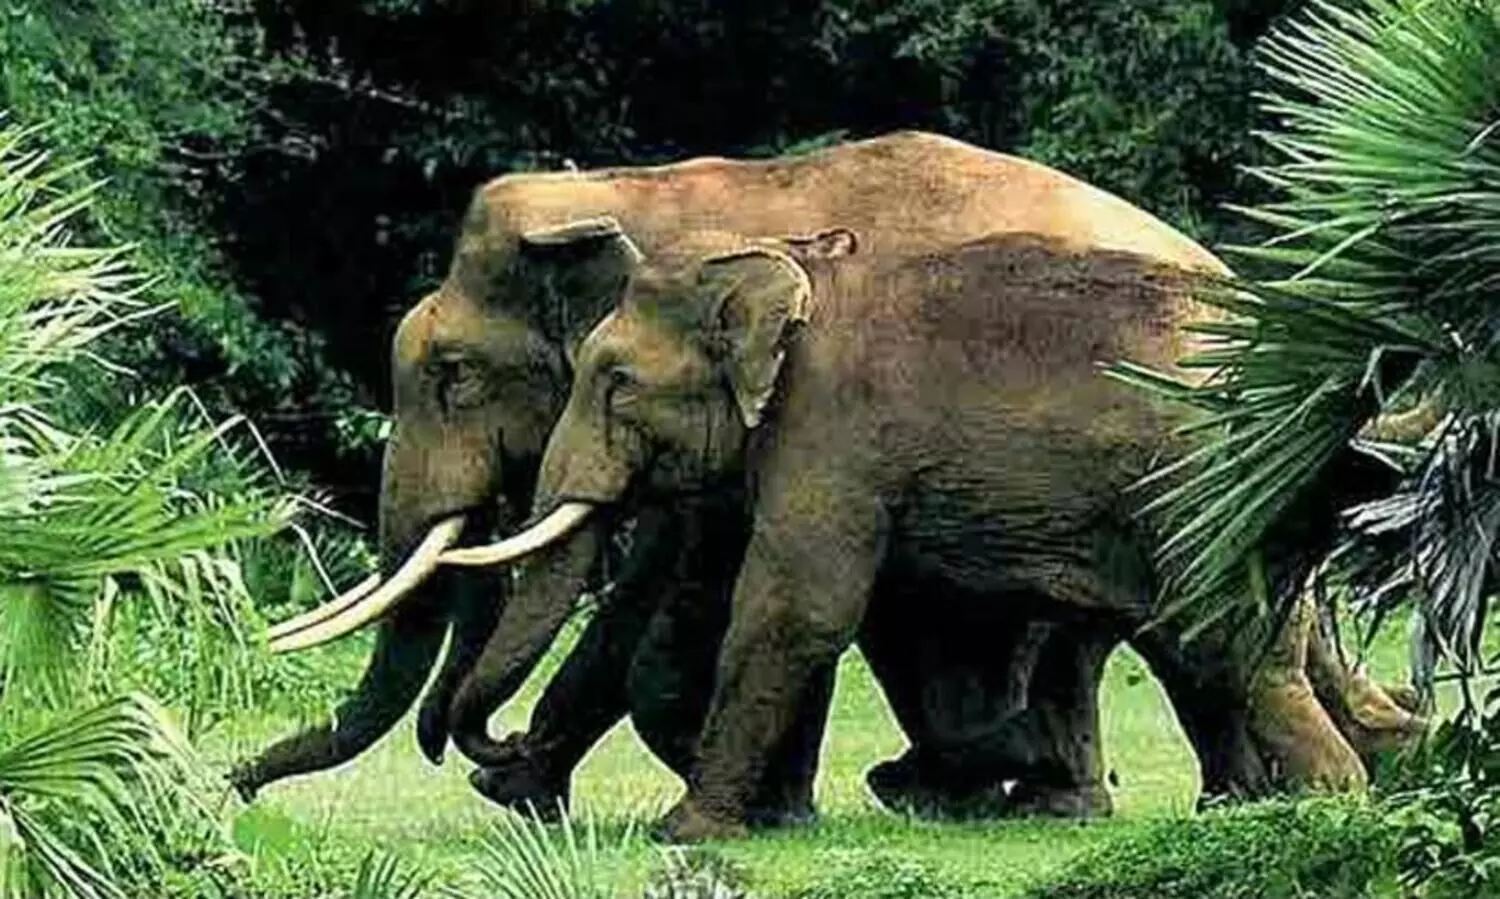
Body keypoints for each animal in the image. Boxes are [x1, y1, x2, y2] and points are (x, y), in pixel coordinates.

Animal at [436, 222, 1427, 843]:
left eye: (613, 381)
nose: (503, 748)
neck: (785, 262)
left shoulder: (829, 430)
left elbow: (798, 609)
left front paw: (679, 832)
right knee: (1220, 640)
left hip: (1200, 486)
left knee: (1218, 637)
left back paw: (1326, 800)